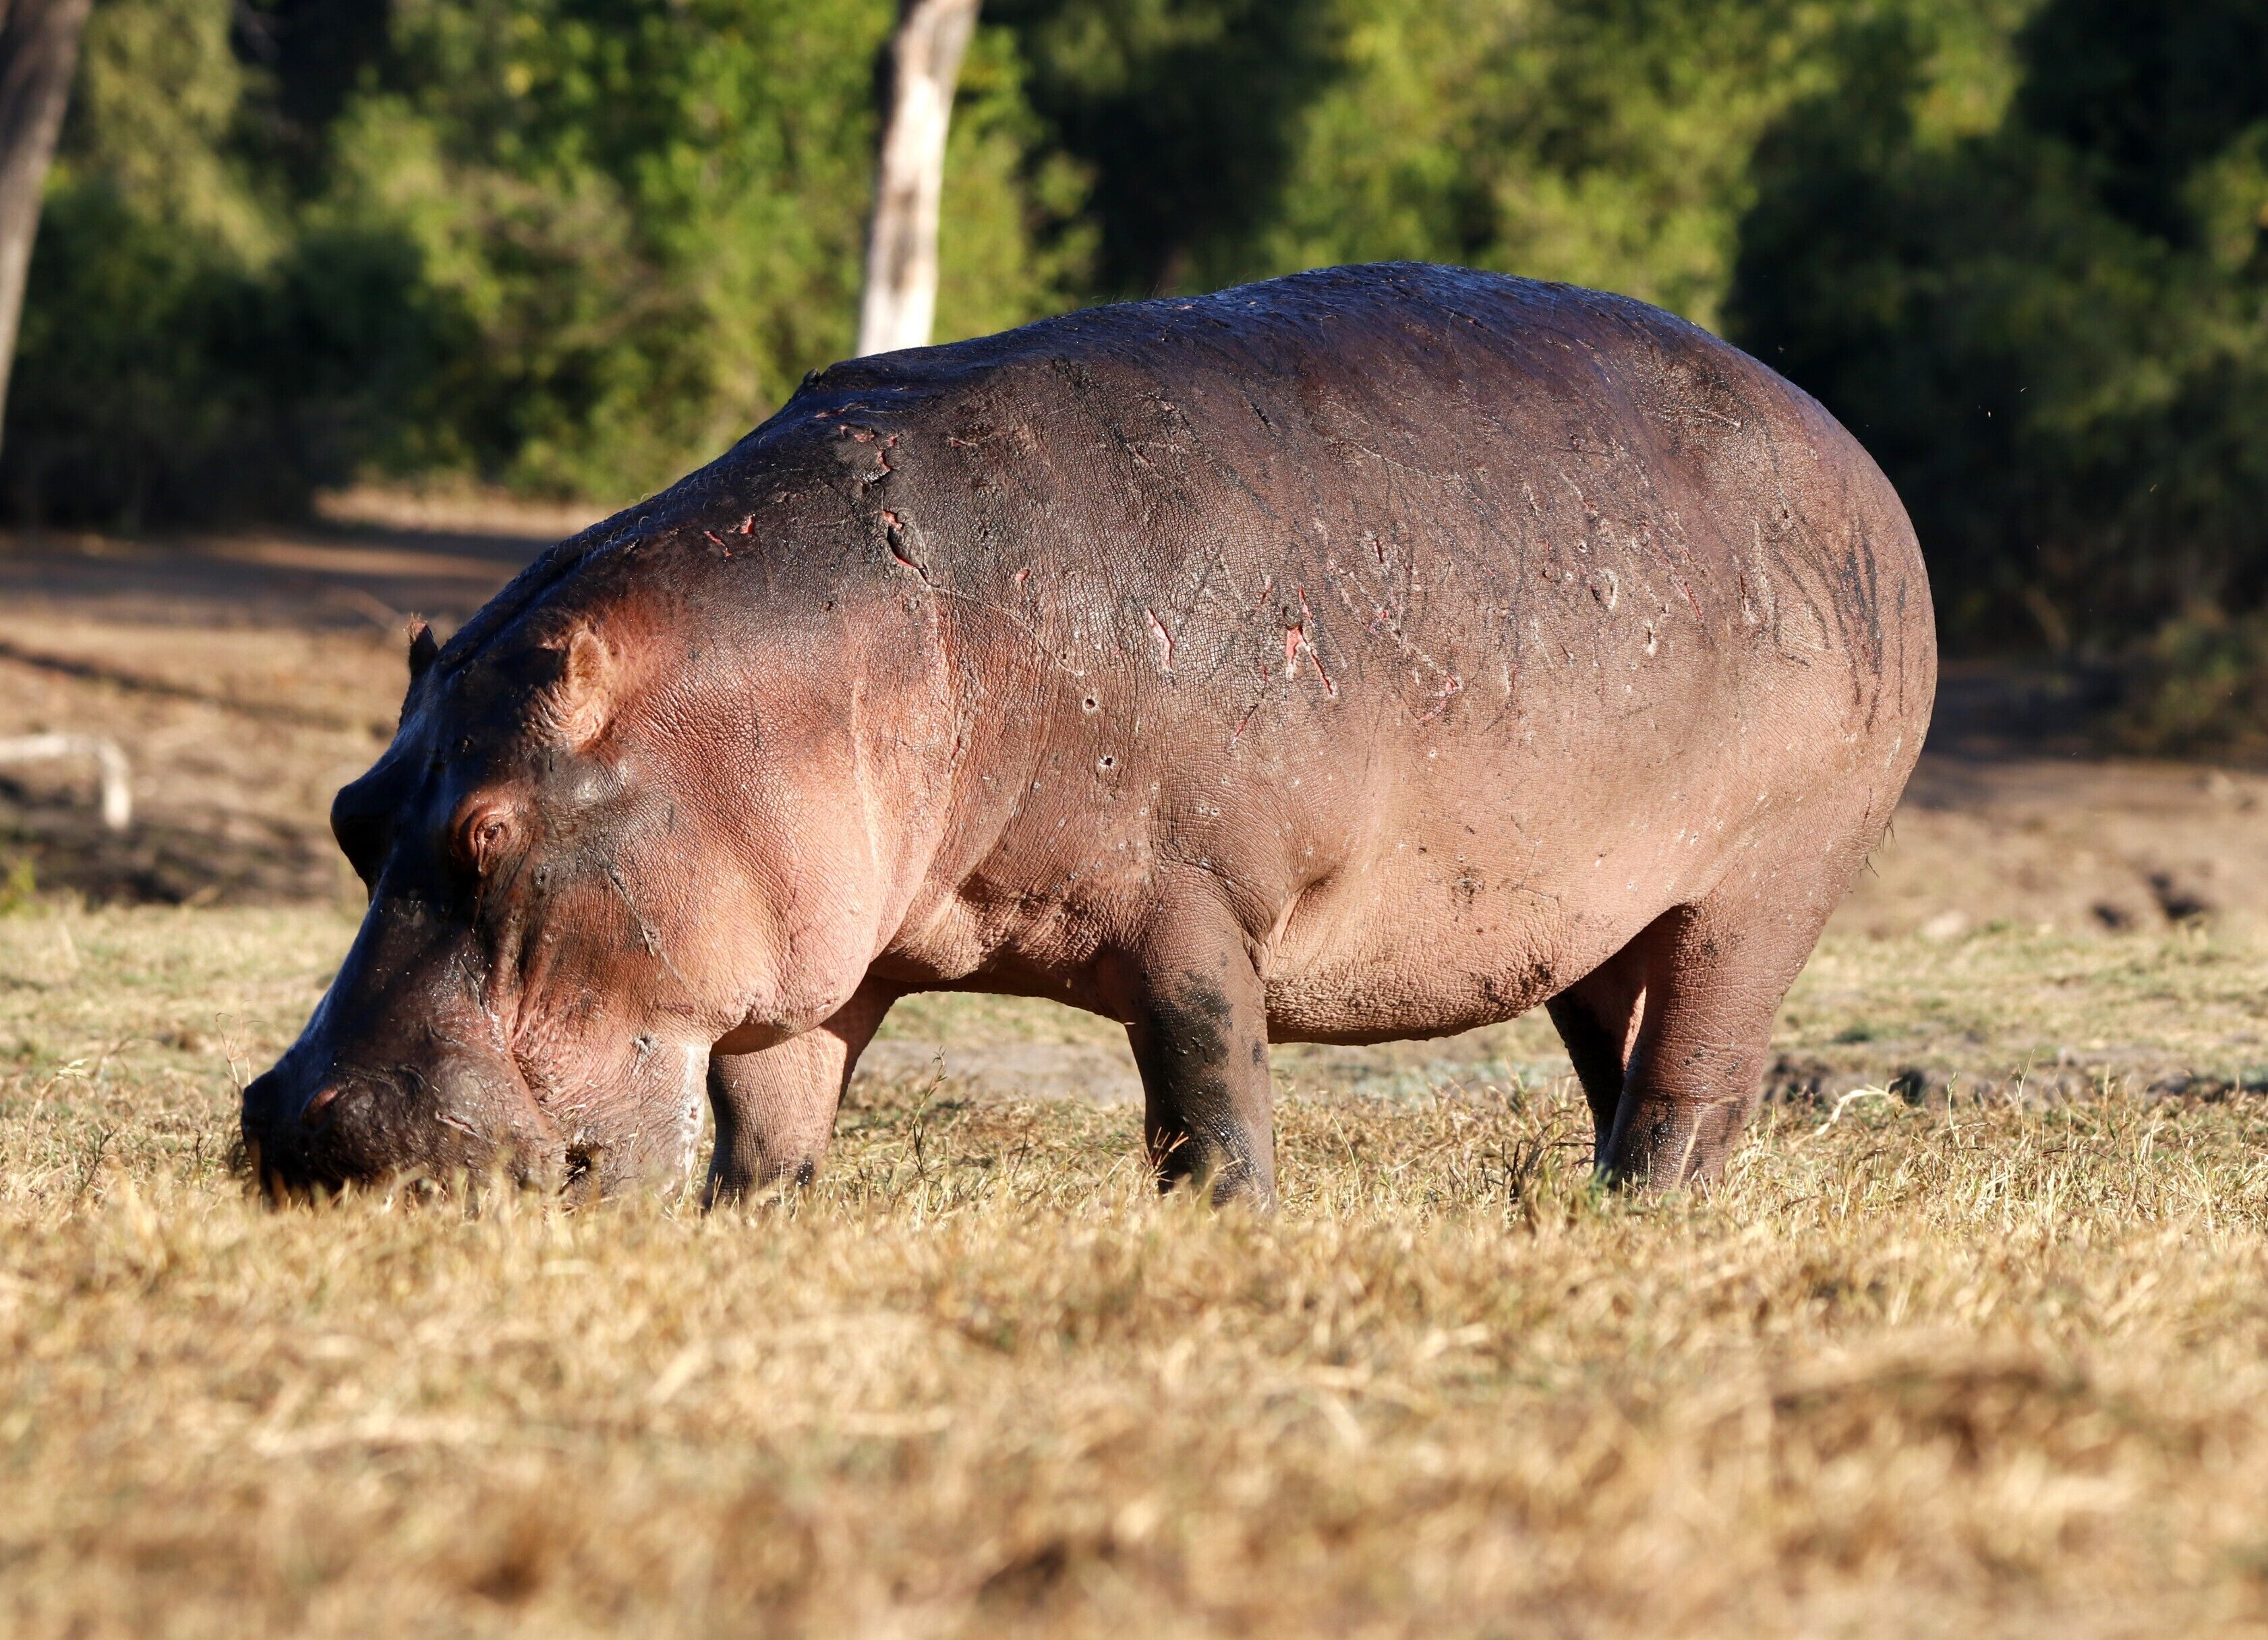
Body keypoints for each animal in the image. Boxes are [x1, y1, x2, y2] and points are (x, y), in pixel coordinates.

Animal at [241, 263, 1934, 1206]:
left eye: (490, 833)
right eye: (350, 814)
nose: (314, 1133)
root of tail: (1850, 449)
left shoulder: (1195, 902)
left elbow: (1206, 1091)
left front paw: (1230, 1229)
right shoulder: (825, 953)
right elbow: (769, 1125)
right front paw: (756, 1227)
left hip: (1761, 881)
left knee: (1695, 1075)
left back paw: (1641, 1216)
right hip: (1593, 910)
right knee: (1619, 1056)